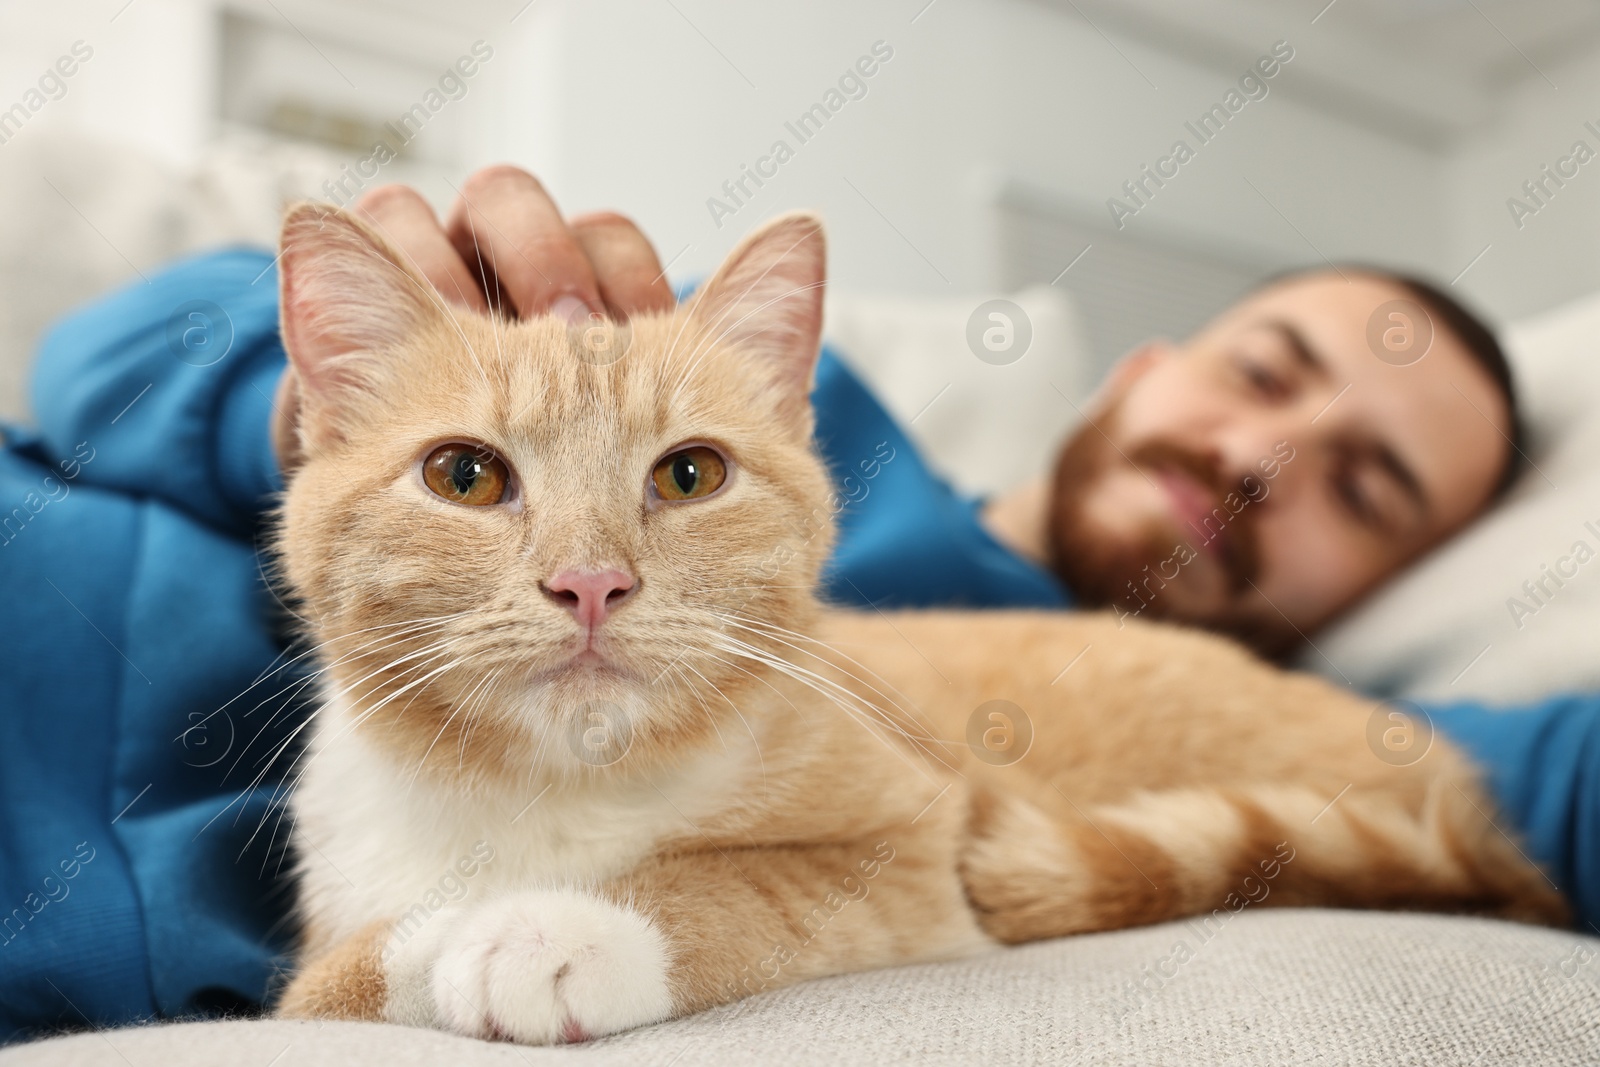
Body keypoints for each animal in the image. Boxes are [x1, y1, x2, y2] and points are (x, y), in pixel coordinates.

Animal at [272, 199, 1561, 1043]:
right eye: (465, 476)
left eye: (689, 475)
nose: (591, 583)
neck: (553, 788)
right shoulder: (326, 928)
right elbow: (340, 971)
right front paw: (458, 932)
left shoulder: (916, 854)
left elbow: (729, 884)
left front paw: (549, 929)